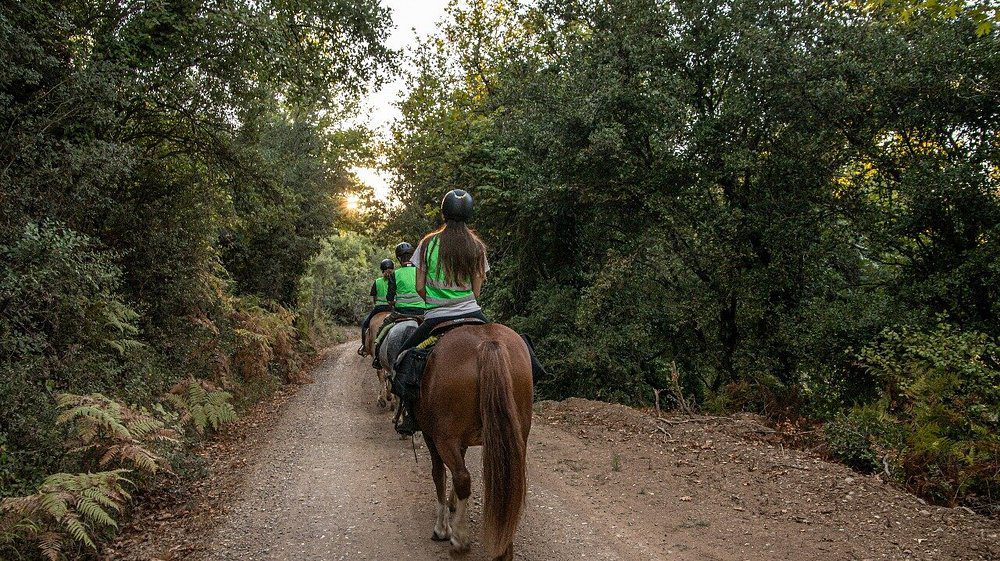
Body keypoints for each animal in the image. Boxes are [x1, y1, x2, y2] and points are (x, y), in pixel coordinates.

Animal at [417, 323, 533, 560]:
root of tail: (488, 342)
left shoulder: (432, 436)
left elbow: (439, 474)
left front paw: (442, 528)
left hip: (445, 438)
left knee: (462, 477)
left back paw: (459, 539)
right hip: (517, 436)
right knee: (510, 485)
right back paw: (503, 550)